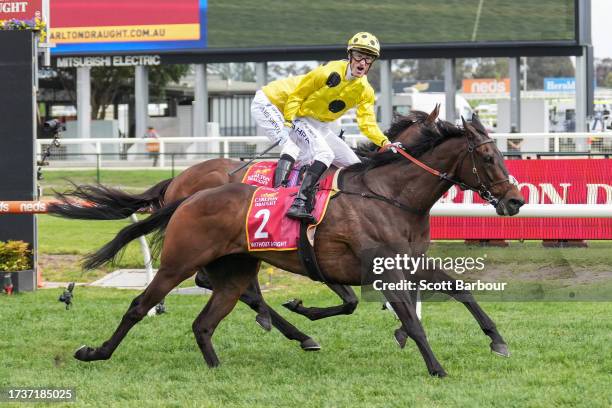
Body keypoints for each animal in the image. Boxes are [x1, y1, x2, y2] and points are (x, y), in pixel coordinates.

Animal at [74, 111, 524, 376]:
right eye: (488, 158)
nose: (515, 200)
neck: (389, 194)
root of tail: (185, 194)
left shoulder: (409, 261)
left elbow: (458, 288)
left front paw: (497, 339)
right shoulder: (380, 270)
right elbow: (409, 319)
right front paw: (435, 367)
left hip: (235, 268)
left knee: (210, 316)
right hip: (178, 262)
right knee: (141, 305)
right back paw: (95, 352)